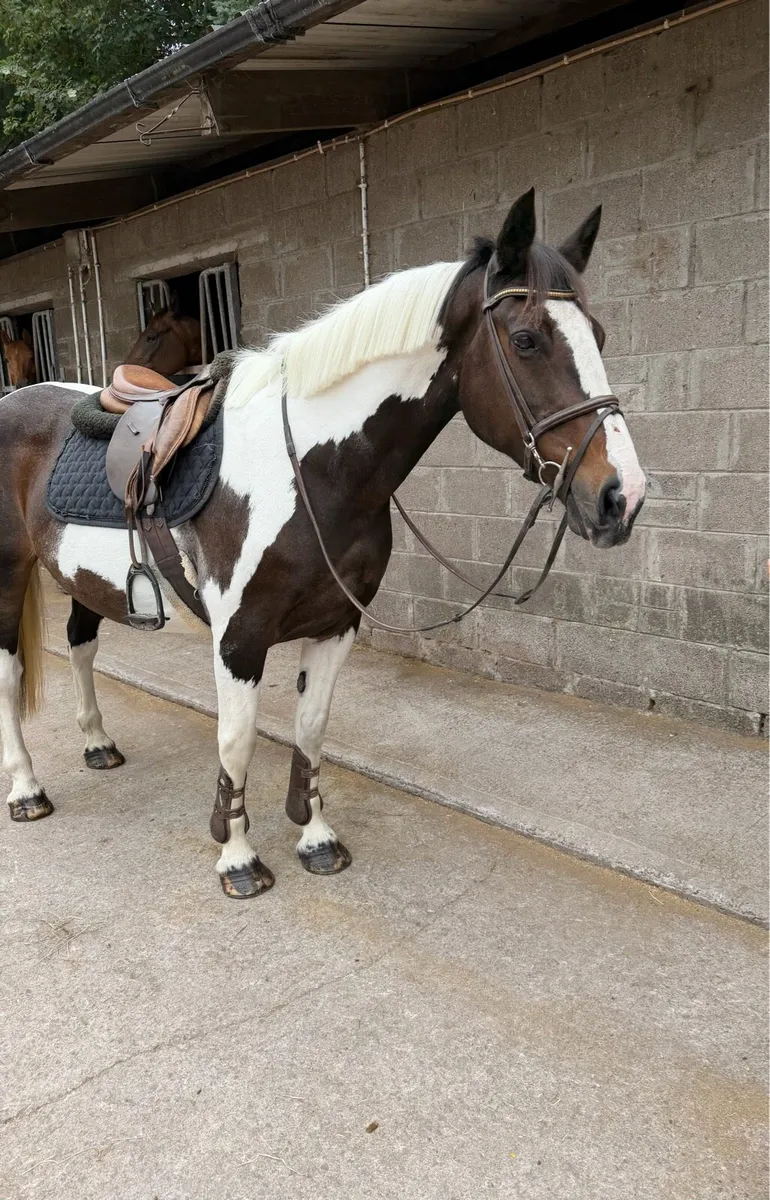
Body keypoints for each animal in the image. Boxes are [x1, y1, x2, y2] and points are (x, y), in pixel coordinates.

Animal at [0, 189, 646, 900]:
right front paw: (238, 858)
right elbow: (236, 740)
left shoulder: (336, 626)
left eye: (600, 336)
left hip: (80, 579)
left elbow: (311, 729)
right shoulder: (238, 640)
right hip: (8, 577)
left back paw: (97, 745)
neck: (311, 468)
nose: (622, 496)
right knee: (9, 676)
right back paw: (27, 790)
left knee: (80, 645)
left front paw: (315, 839)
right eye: (527, 340)